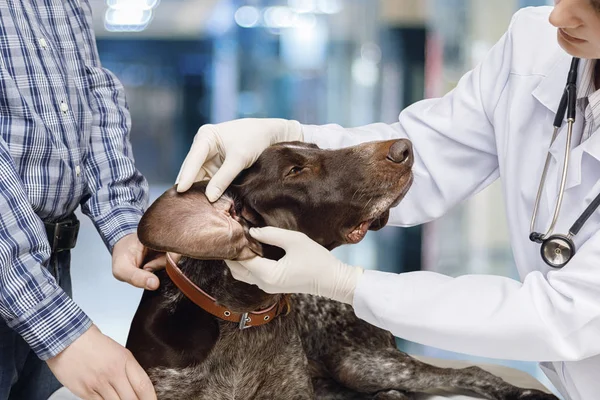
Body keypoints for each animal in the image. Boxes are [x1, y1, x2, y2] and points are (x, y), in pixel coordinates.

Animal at [127, 140, 556, 400]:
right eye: (295, 171)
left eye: (317, 147)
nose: (403, 147)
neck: (241, 313)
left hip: (362, 362)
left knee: (469, 371)